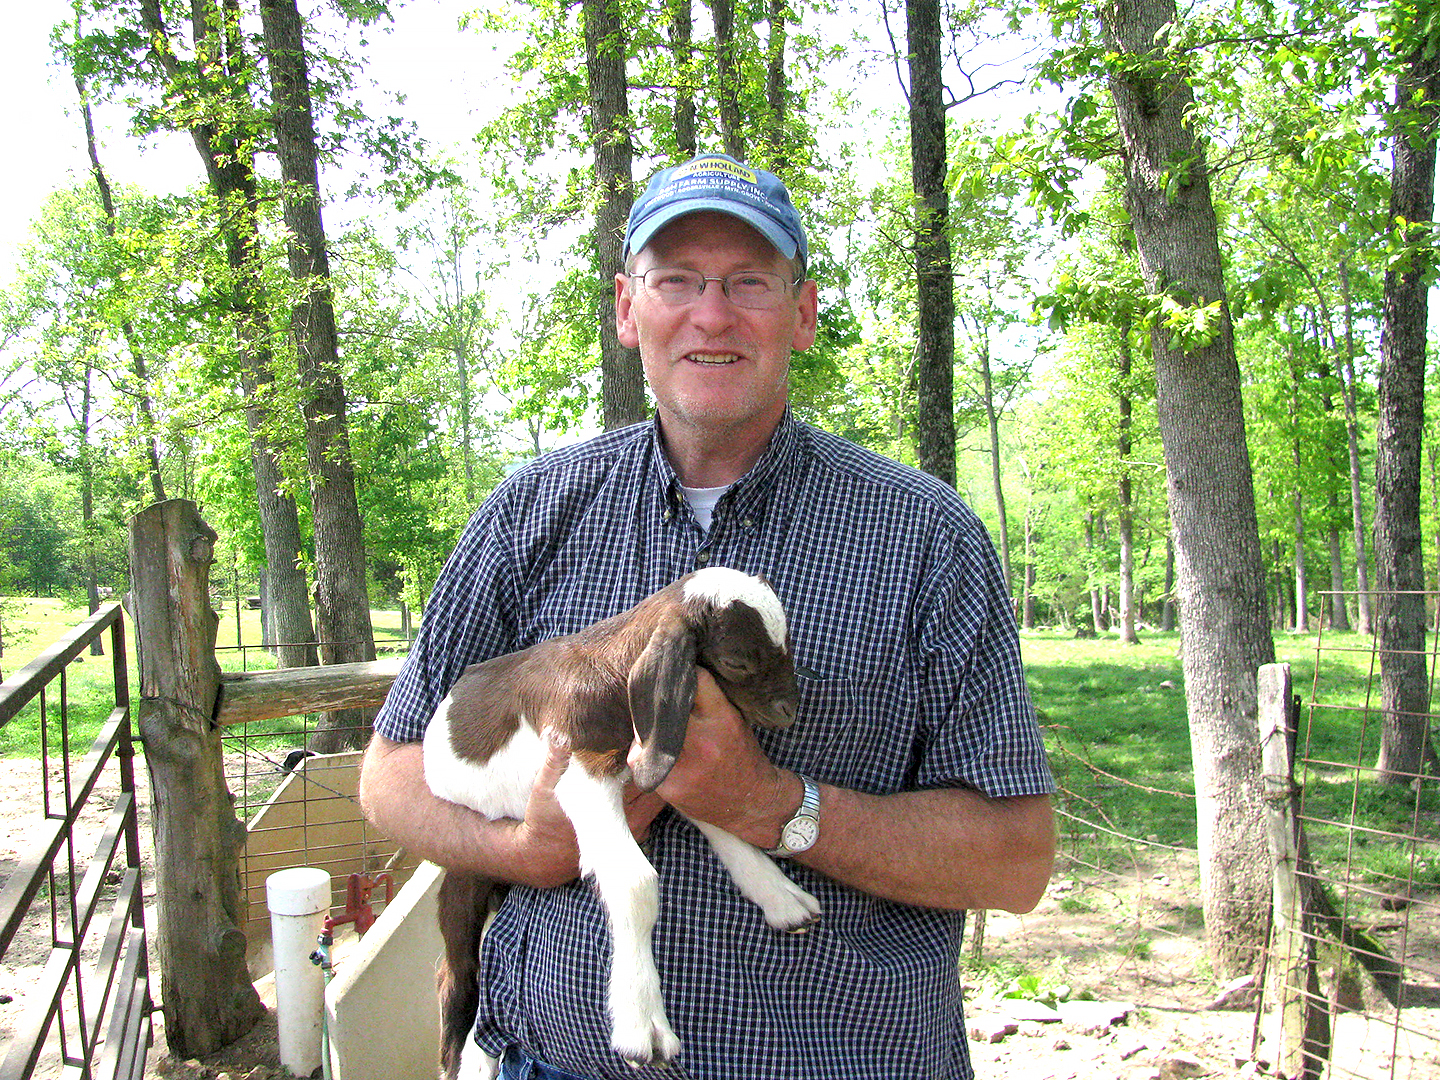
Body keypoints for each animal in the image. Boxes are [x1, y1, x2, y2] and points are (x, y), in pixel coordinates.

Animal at [420, 570, 823, 1077]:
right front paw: (643, 1026)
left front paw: (782, 897)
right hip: (466, 875)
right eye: (736, 661)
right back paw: (460, 1057)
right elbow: (634, 883)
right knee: (455, 973)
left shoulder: (661, 758)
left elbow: (720, 815)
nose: (789, 711)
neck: (615, 675)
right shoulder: (581, 771)